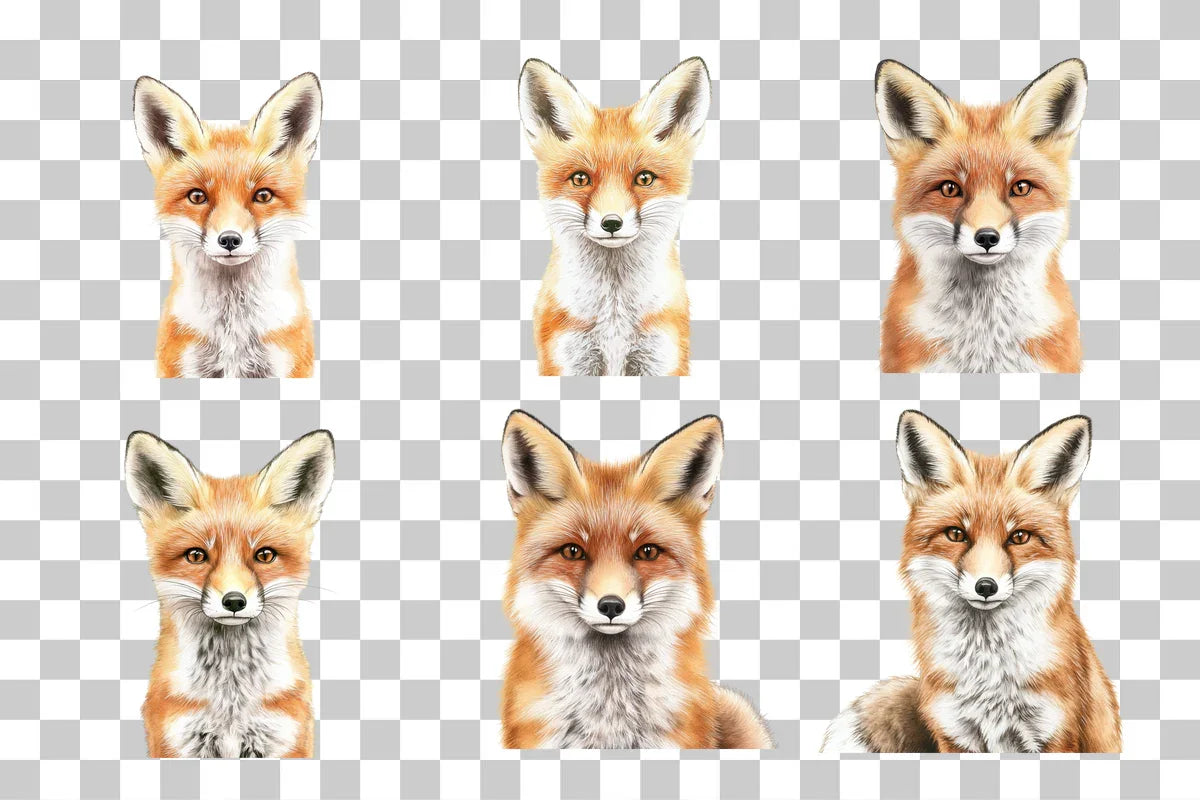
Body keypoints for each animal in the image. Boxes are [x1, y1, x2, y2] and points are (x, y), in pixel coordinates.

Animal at [123, 429, 335, 758]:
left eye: (265, 555)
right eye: (196, 556)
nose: (234, 601)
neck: (231, 701)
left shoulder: (285, 738)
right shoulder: (177, 740)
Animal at [518, 57, 711, 376]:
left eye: (644, 178)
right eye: (580, 179)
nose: (611, 223)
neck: (614, 314)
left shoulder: (660, 357)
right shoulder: (569, 359)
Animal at [822, 411, 1120, 753]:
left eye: (1019, 537)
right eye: (956, 534)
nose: (986, 586)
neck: (988, 677)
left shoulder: (1056, 734)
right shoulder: (955, 735)